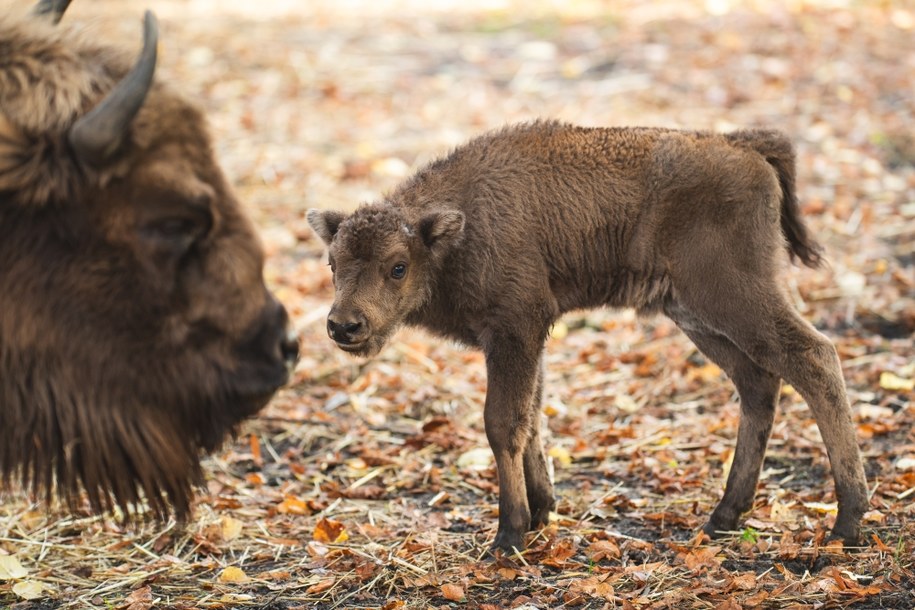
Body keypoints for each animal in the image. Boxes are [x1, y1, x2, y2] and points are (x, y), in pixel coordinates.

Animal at [310, 119, 872, 552]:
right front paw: (542, 511)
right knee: (759, 383)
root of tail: (744, 146)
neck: (453, 233)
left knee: (814, 358)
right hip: (696, 315)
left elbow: (503, 423)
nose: (344, 325)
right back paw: (724, 516)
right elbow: (532, 416)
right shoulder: (527, 339)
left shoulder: (515, 329)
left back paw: (847, 523)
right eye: (333, 264)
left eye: (397, 267)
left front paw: (509, 534)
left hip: (734, 298)